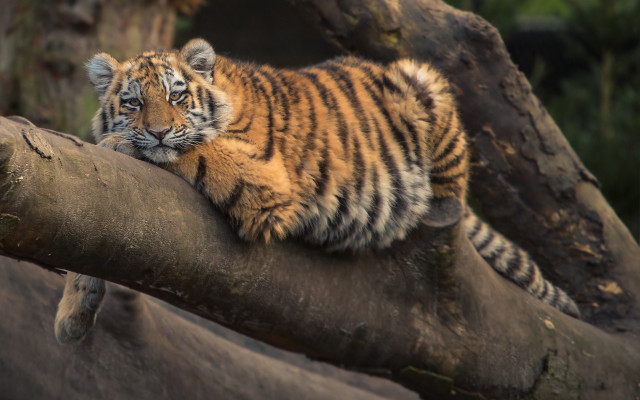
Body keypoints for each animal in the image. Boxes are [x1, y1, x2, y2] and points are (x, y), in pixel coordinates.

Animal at [54, 38, 580, 344]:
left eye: (177, 96)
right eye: (133, 102)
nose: (158, 131)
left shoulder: (263, 179)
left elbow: (194, 149)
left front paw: (120, 143)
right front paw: (72, 317)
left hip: (422, 83)